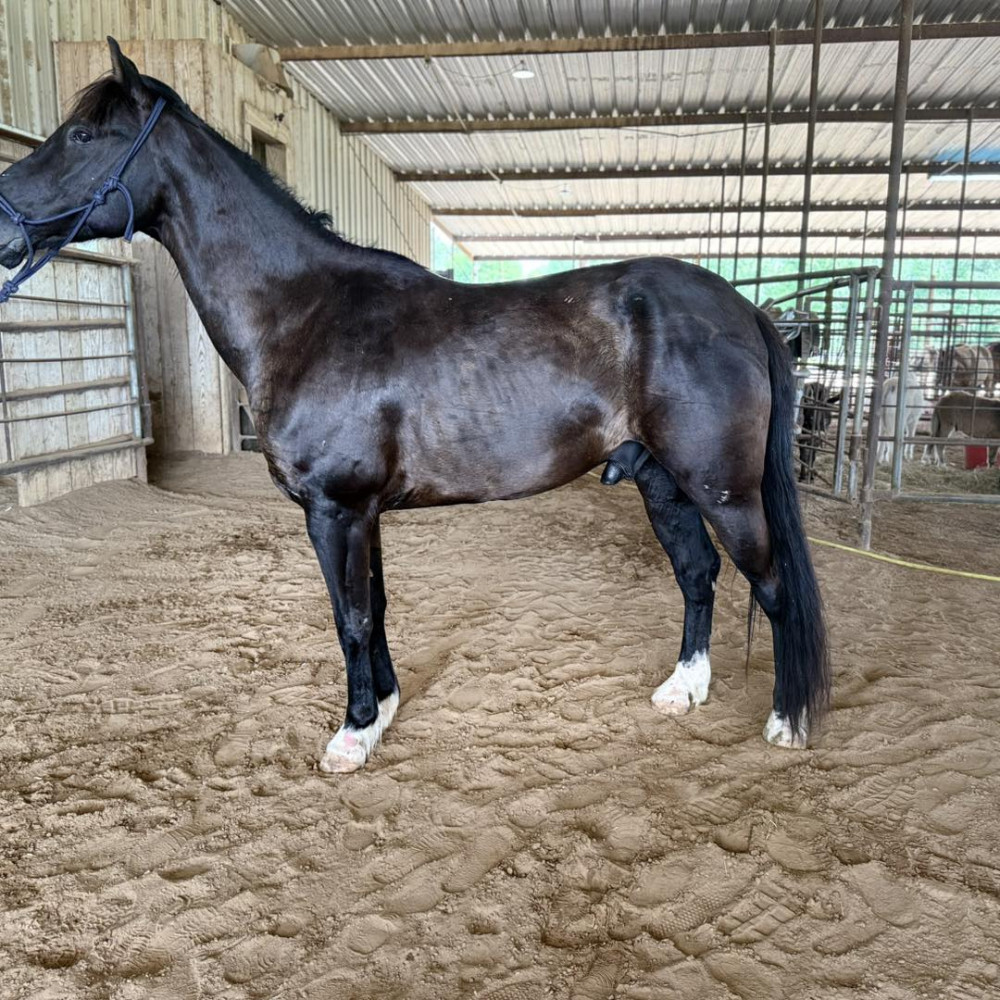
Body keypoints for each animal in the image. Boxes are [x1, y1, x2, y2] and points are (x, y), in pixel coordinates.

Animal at [0, 40, 829, 770]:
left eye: (81, 135)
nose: (3, 223)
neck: (303, 311)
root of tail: (744, 310)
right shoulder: (361, 512)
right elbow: (376, 609)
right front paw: (384, 711)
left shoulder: (334, 509)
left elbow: (350, 617)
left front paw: (352, 733)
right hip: (661, 479)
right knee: (698, 574)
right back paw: (684, 689)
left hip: (723, 488)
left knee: (771, 584)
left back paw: (788, 722)